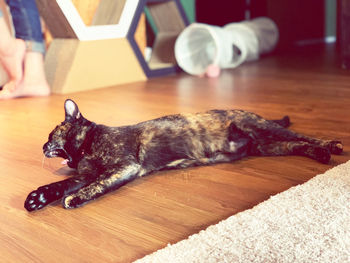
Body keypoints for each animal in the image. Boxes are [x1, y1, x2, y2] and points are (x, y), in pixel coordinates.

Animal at [23, 99, 342, 212]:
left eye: (50, 134)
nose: (41, 146)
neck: (86, 148)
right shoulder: (86, 173)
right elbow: (61, 184)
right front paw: (37, 198)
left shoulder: (124, 166)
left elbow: (95, 186)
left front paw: (75, 199)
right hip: (267, 146)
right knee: (296, 145)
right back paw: (321, 154)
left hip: (264, 129)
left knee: (301, 136)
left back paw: (332, 146)